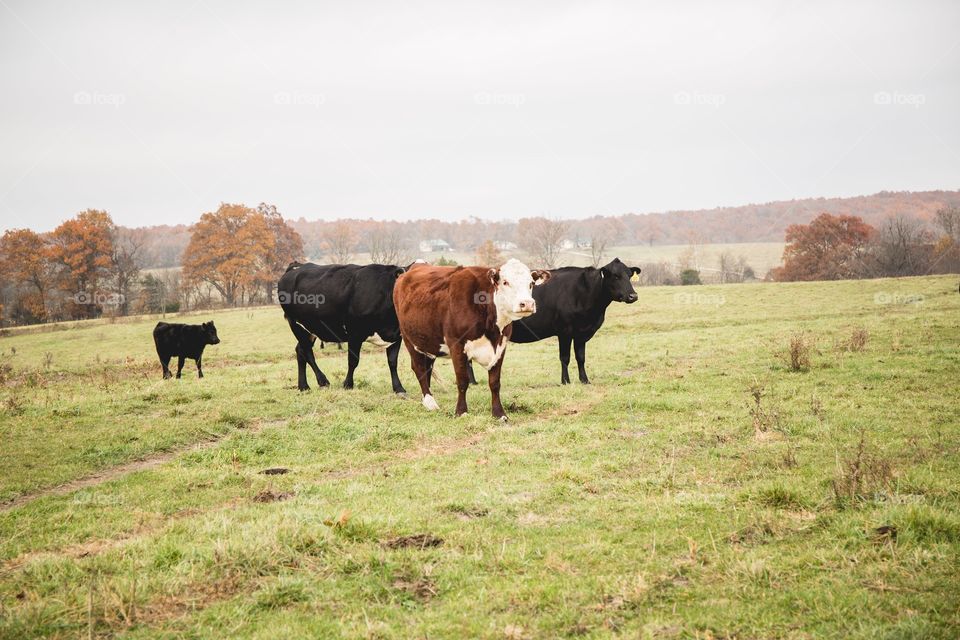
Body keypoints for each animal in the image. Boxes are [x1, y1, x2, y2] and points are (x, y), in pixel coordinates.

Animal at [278, 262, 407, 394]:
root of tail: (297, 266)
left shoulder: (396, 336)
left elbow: (392, 362)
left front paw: (398, 388)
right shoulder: (355, 333)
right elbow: (353, 361)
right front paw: (348, 384)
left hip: (311, 330)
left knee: (300, 350)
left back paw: (303, 386)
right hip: (296, 325)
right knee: (306, 351)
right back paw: (322, 381)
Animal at [393, 258, 550, 420]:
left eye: (531, 283)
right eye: (505, 282)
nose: (527, 303)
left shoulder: (501, 346)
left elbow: (495, 382)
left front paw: (499, 413)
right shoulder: (457, 344)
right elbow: (462, 380)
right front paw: (461, 411)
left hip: (429, 341)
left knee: (427, 368)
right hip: (408, 338)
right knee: (419, 368)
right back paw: (430, 402)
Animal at [465, 258, 640, 385]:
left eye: (629, 275)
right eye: (616, 276)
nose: (633, 296)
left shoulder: (581, 333)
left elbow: (581, 357)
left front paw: (585, 380)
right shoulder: (564, 331)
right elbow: (565, 357)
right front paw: (566, 381)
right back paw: (472, 382)